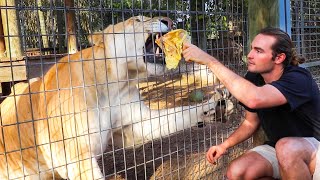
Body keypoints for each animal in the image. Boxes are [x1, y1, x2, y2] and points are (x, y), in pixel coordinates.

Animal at [0, 16, 225, 179]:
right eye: (137, 19)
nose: (170, 21)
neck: (115, 82)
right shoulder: (74, 155)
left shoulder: (136, 124)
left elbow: (179, 114)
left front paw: (216, 106)